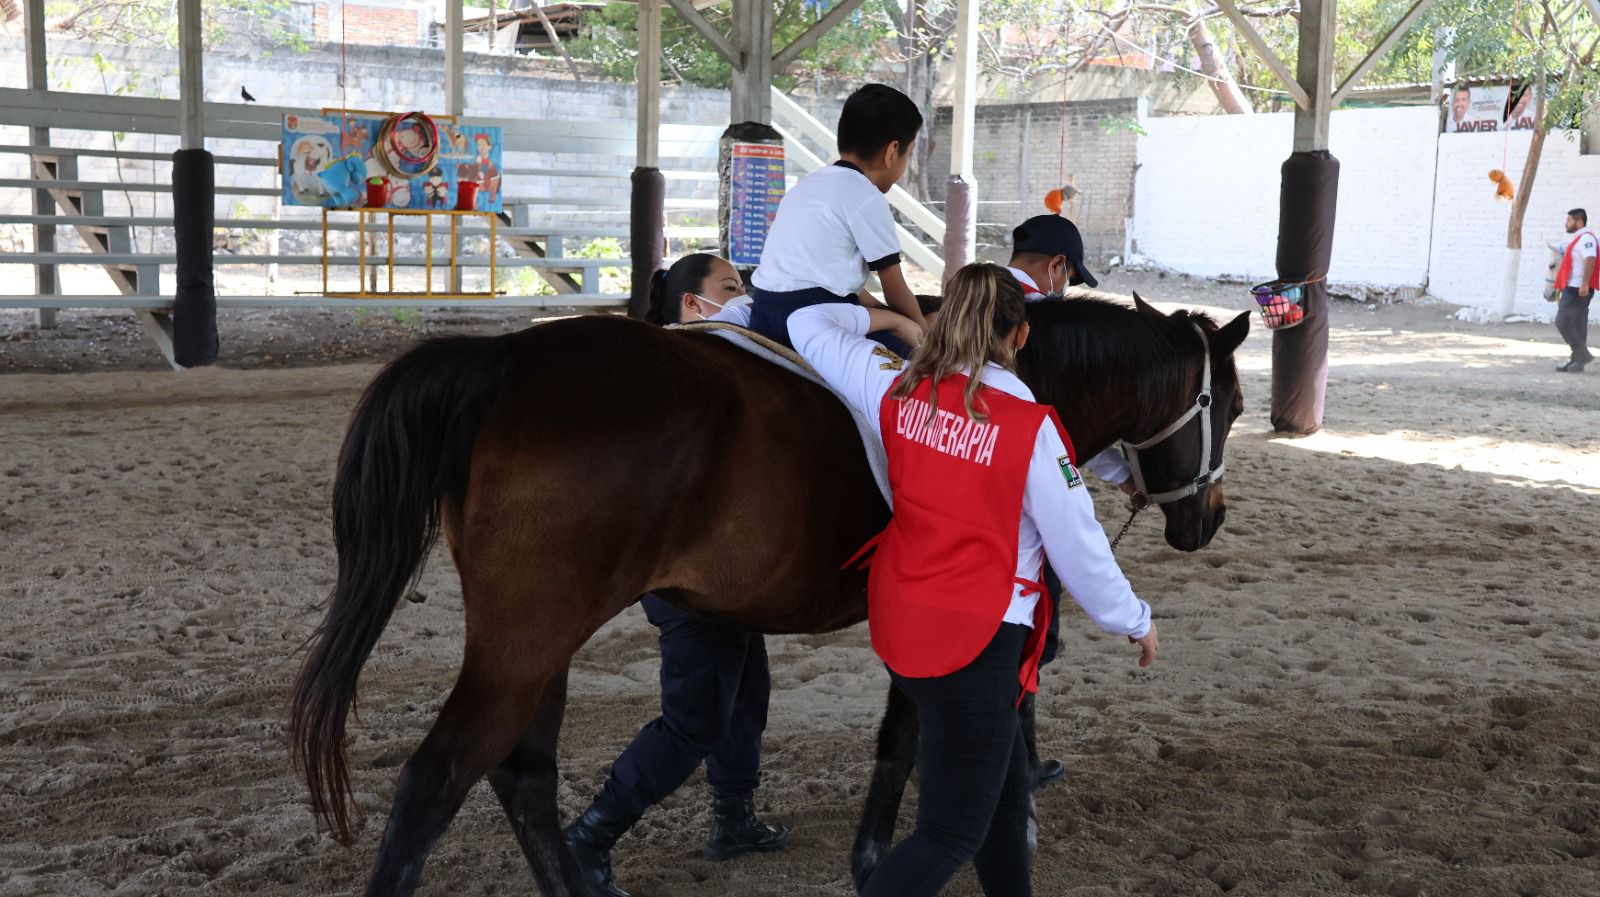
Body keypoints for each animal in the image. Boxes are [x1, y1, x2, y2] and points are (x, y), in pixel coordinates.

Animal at [294, 295, 1254, 895]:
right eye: (1235, 408)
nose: (1207, 518)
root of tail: (503, 361)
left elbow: (930, 731)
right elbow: (920, 735)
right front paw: (906, 851)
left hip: (537, 642)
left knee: (522, 772)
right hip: (527, 636)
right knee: (436, 781)